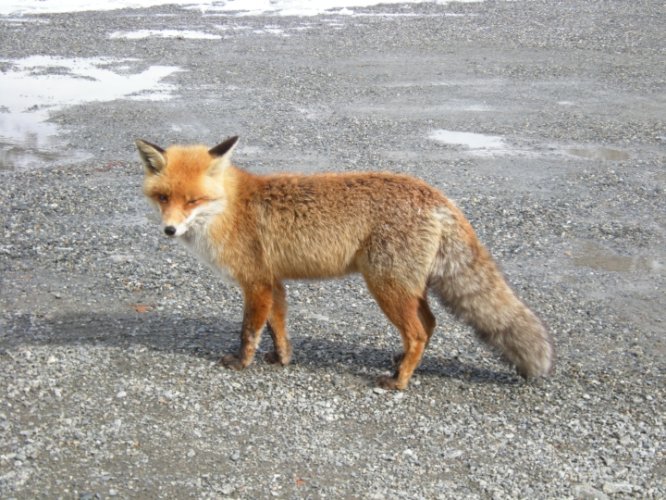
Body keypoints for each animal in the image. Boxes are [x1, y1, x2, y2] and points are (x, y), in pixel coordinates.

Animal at [135, 137, 548, 390]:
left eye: (193, 201)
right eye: (164, 197)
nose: (170, 230)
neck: (231, 210)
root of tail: (438, 196)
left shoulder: (256, 283)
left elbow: (249, 331)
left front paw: (242, 363)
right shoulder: (275, 281)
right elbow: (278, 329)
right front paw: (282, 359)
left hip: (385, 287)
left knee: (418, 331)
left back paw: (399, 381)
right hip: (405, 287)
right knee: (429, 325)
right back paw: (400, 363)